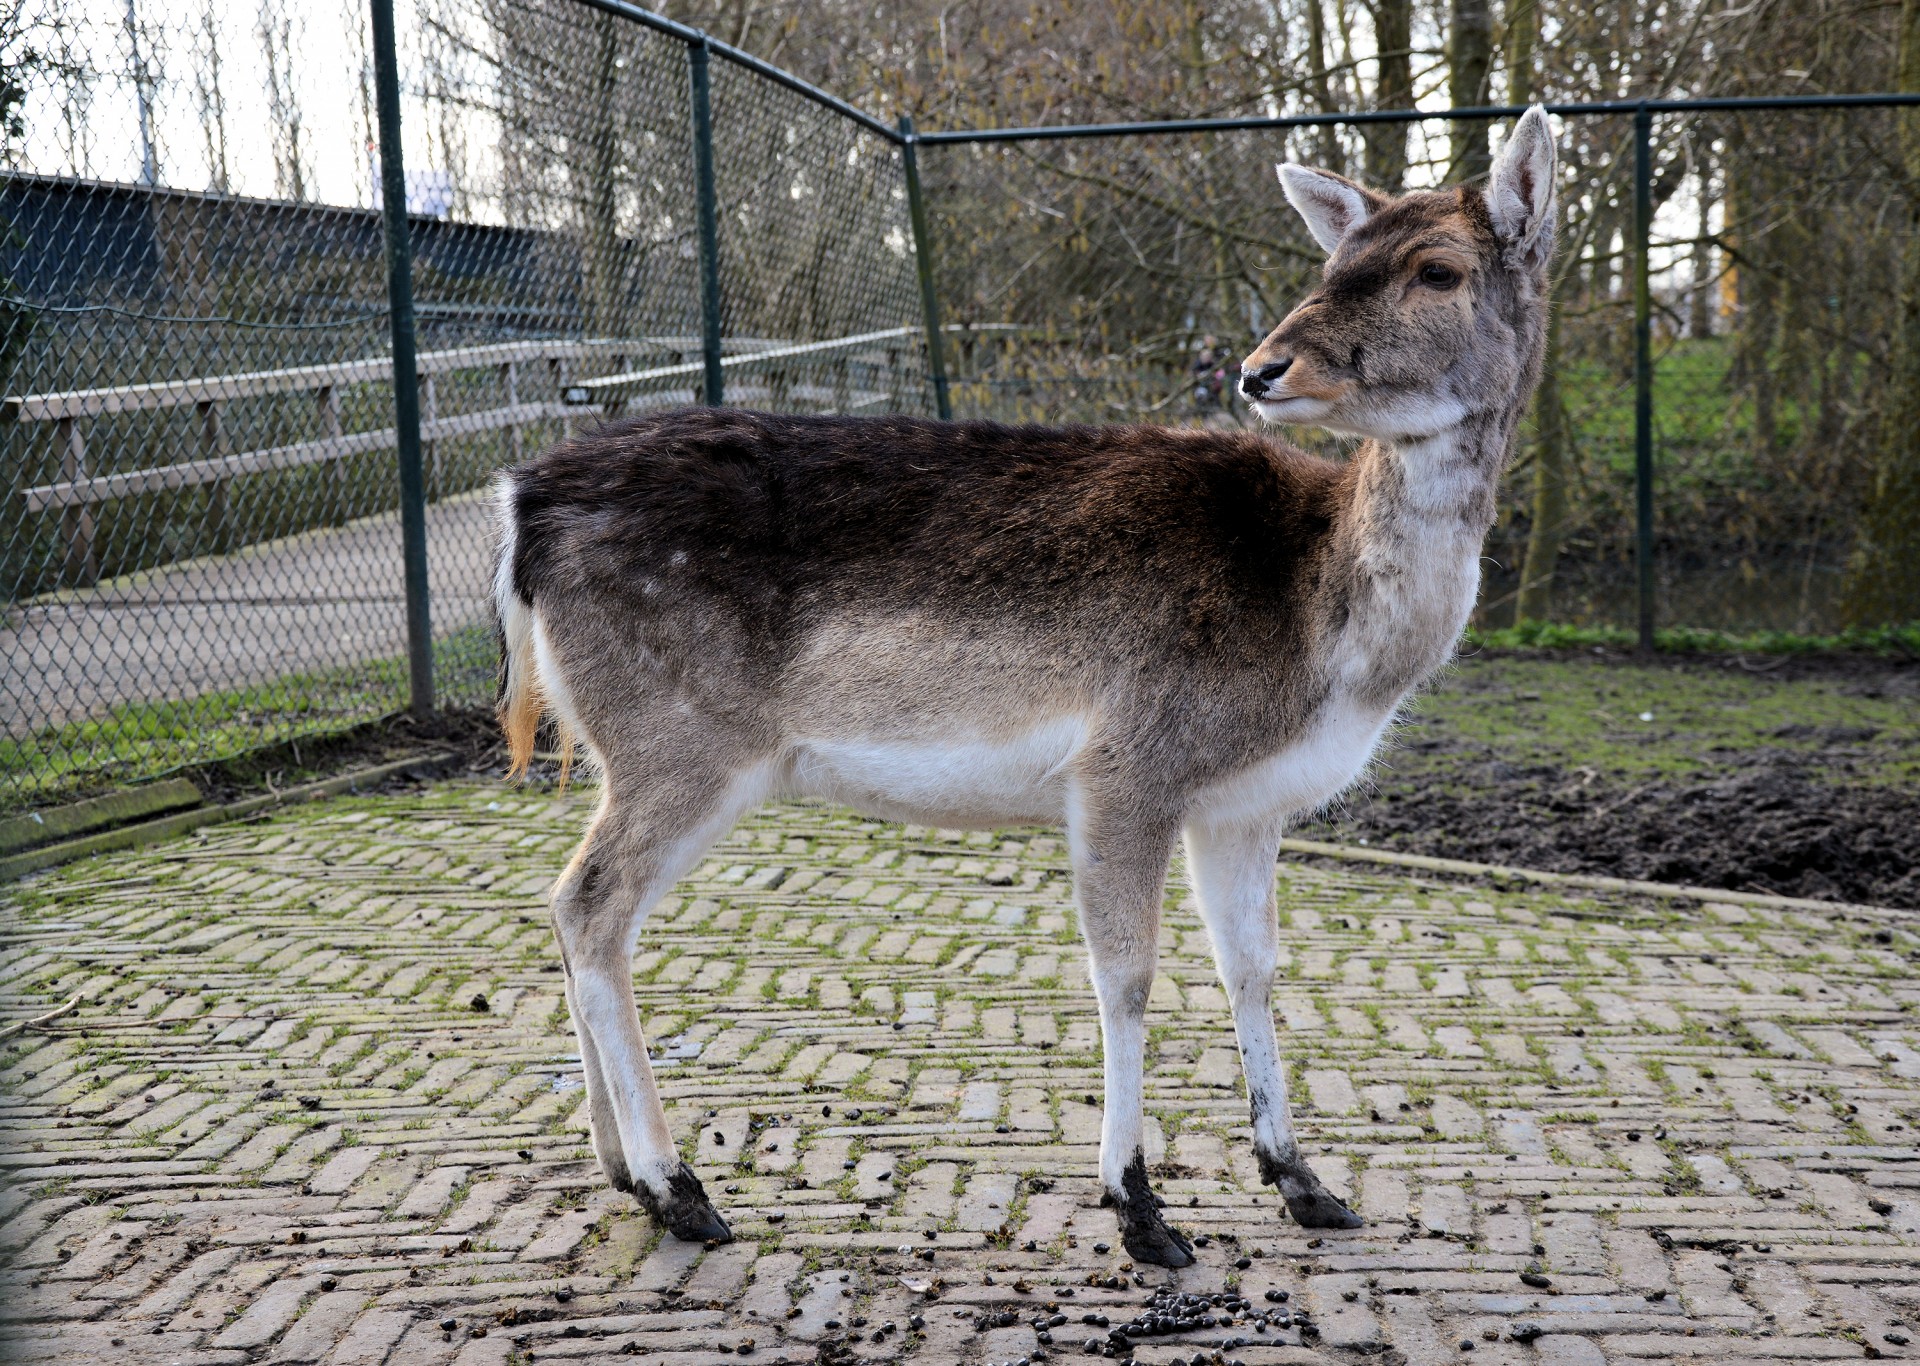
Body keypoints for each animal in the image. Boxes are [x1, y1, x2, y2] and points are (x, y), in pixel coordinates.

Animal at [499, 106, 1559, 1268]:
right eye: (1334, 261)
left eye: (1438, 268)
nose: (1263, 368)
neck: (1329, 642)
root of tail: (521, 503)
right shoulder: (1126, 763)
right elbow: (1128, 973)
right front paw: (1140, 1207)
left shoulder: (1245, 804)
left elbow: (1254, 967)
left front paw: (1304, 1182)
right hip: (678, 740)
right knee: (590, 907)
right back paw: (678, 1186)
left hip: (630, 750)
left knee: (568, 906)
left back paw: (618, 1168)